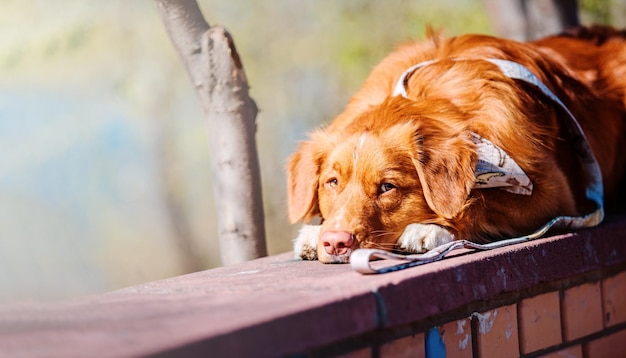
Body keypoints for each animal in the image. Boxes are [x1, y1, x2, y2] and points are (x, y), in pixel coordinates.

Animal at [286, 25, 624, 262]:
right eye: (332, 182)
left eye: (387, 187)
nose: (335, 242)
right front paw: (315, 232)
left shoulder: (557, 195)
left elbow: (480, 202)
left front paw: (431, 228)